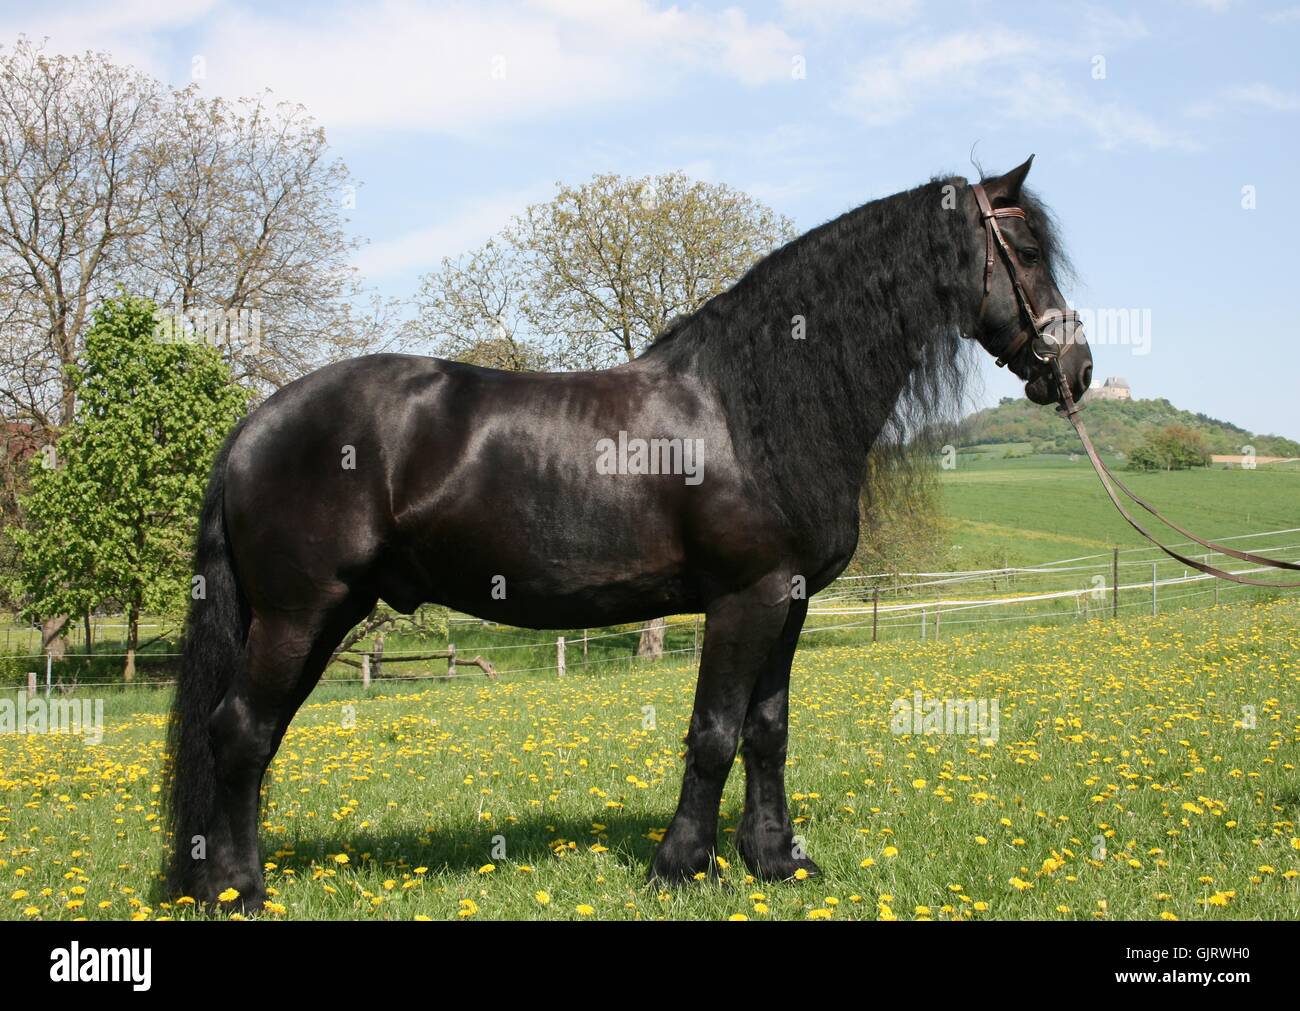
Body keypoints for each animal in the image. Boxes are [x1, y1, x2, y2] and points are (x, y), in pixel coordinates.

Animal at [166, 156, 1093, 908]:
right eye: (1026, 250)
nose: (1076, 368)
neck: (749, 408)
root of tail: (254, 424)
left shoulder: (789, 602)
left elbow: (767, 730)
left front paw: (775, 862)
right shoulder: (745, 598)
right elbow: (713, 732)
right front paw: (681, 867)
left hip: (315, 616)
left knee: (252, 736)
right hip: (299, 613)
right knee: (240, 732)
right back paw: (239, 892)